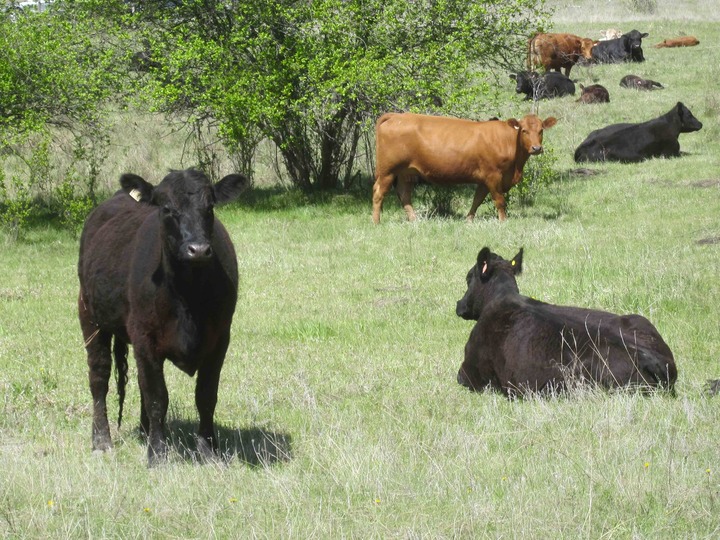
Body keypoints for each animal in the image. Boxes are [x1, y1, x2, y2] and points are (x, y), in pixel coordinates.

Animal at [78, 168, 249, 466]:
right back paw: (101, 441)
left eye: (210, 207)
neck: (188, 294)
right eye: (167, 208)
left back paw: (144, 431)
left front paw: (208, 451)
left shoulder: (220, 339)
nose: (198, 249)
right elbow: (158, 398)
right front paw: (157, 454)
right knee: (99, 378)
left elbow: (206, 397)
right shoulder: (145, 338)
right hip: (90, 316)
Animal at [371, 113, 557, 223]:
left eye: (541, 130)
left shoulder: (484, 179)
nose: (536, 148)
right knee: (379, 193)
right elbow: (499, 201)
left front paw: (469, 220)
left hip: (405, 172)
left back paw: (414, 219)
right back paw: (376, 221)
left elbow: (477, 199)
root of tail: (397, 115)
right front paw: (503, 221)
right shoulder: (493, 175)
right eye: (524, 130)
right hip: (387, 171)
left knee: (404, 193)